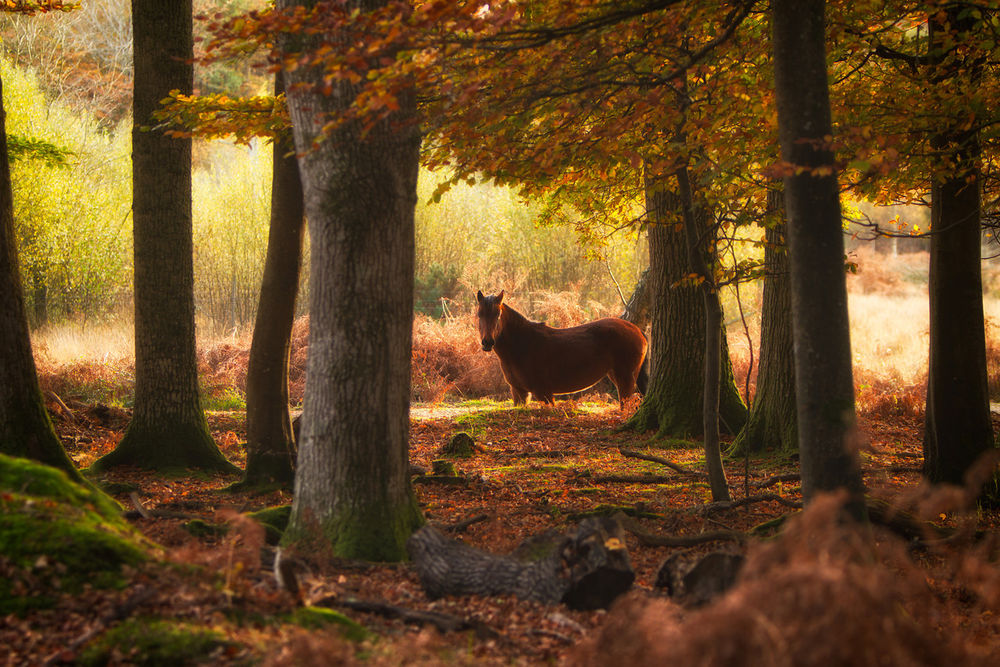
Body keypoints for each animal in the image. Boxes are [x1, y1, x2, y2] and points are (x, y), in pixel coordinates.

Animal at [476, 290, 648, 409]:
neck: (522, 344)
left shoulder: (544, 393)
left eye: (498, 314)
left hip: (626, 379)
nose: (487, 342)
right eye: (479, 314)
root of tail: (638, 330)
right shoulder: (519, 392)